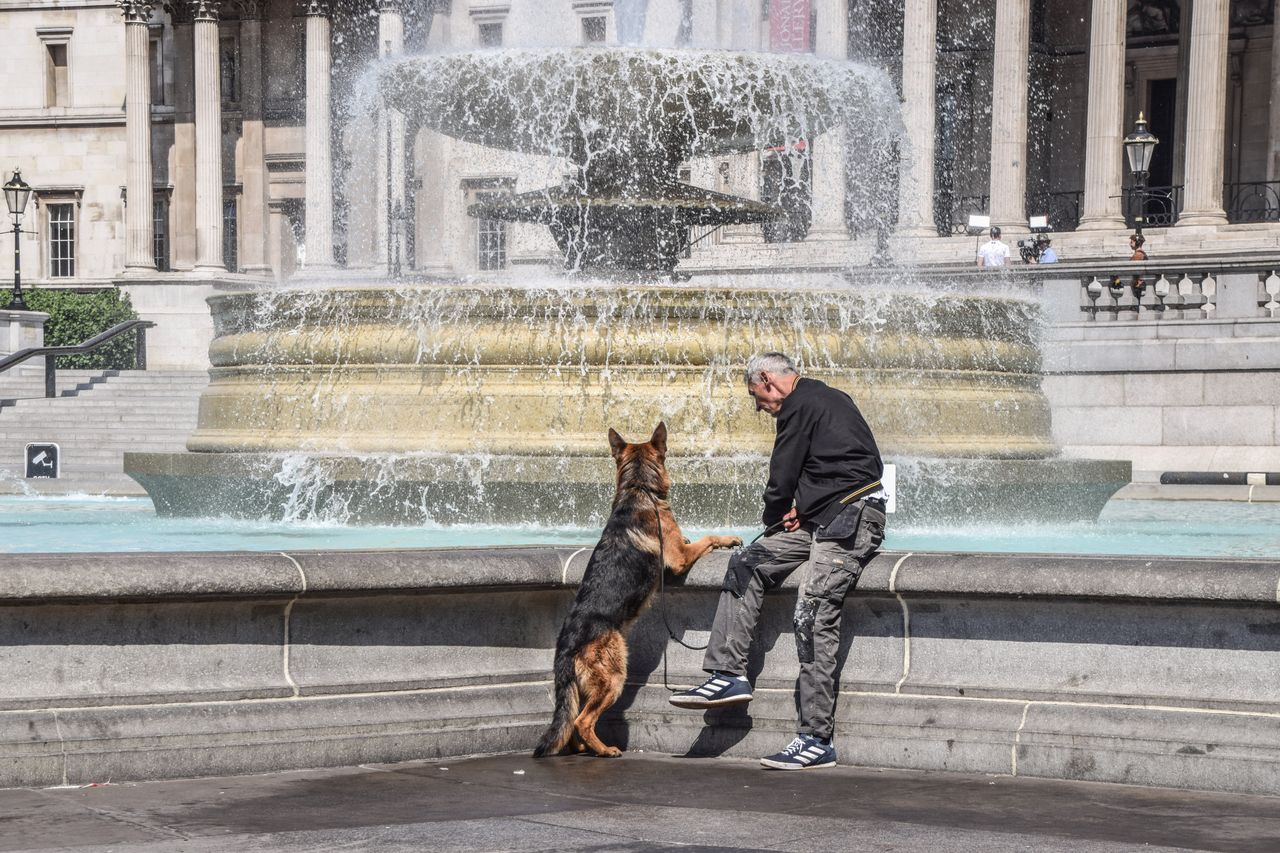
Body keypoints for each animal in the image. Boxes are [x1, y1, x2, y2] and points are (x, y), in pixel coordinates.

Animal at [532, 422, 747, 753]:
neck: (638, 488)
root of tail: (566, 646)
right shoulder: (679, 557)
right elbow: (707, 538)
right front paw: (728, 538)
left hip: (587, 686)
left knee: (574, 723)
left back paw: (585, 749)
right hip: (614, 676)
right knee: (582, 721)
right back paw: (605, 750)